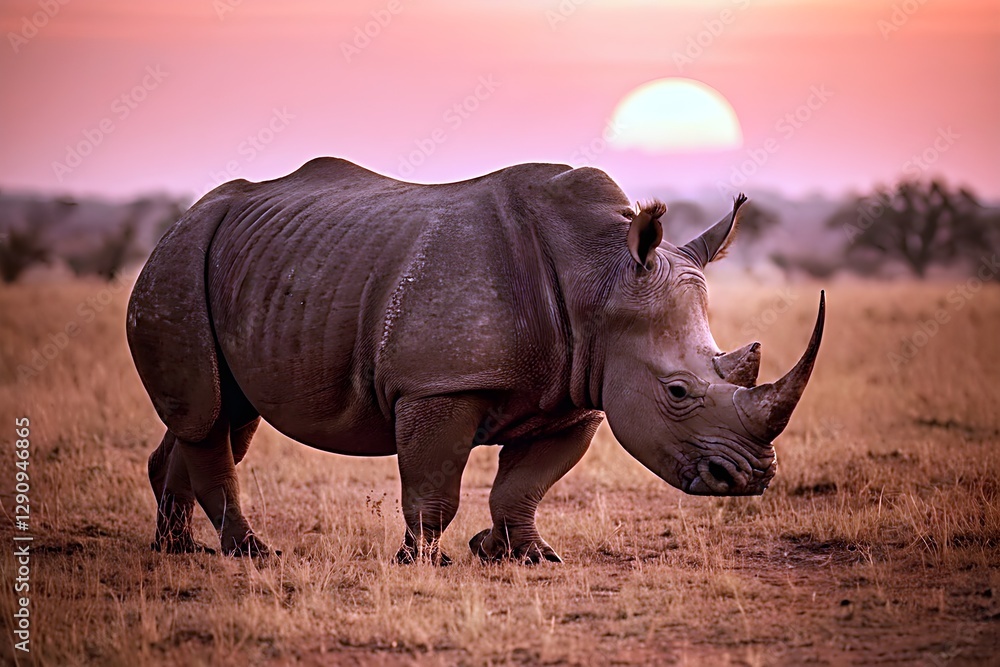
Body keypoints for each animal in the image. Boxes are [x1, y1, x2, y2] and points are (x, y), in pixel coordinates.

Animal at [127, 157, 824, 564]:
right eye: (678, 392)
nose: (750, 478)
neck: (599, 276)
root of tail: (180, 221)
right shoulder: (439, 384)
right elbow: (434, 485)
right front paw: (422, 561)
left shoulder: (577, 395)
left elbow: (525, 484)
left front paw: (518, 554)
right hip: (177, 267)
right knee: (211, 417)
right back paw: (250, 553)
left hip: (245, 270)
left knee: (220, 416)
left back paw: (176, 549)